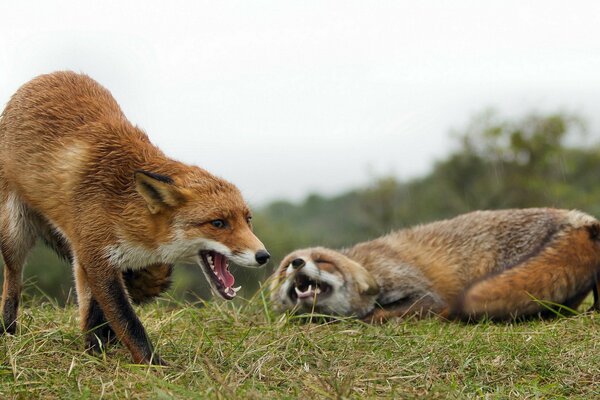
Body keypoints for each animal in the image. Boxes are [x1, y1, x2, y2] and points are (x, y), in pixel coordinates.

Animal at [0, 70, 270, 364]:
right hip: (14, 233)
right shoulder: (96, 257)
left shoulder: (92, 257)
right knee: (12, 282)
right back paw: (8, 330)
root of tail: (41, 78)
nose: (264, 256)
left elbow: (96, 312)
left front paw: (98, 350)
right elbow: (128, 321)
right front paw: (153, 364)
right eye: (218, 223)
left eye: (248, 219)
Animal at [270, 208, 600, 324]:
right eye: (286, 267)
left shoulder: (421, 293)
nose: (297, 263)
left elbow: (378, 314)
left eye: (322, 260)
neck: (370, 268)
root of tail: (581, 219)